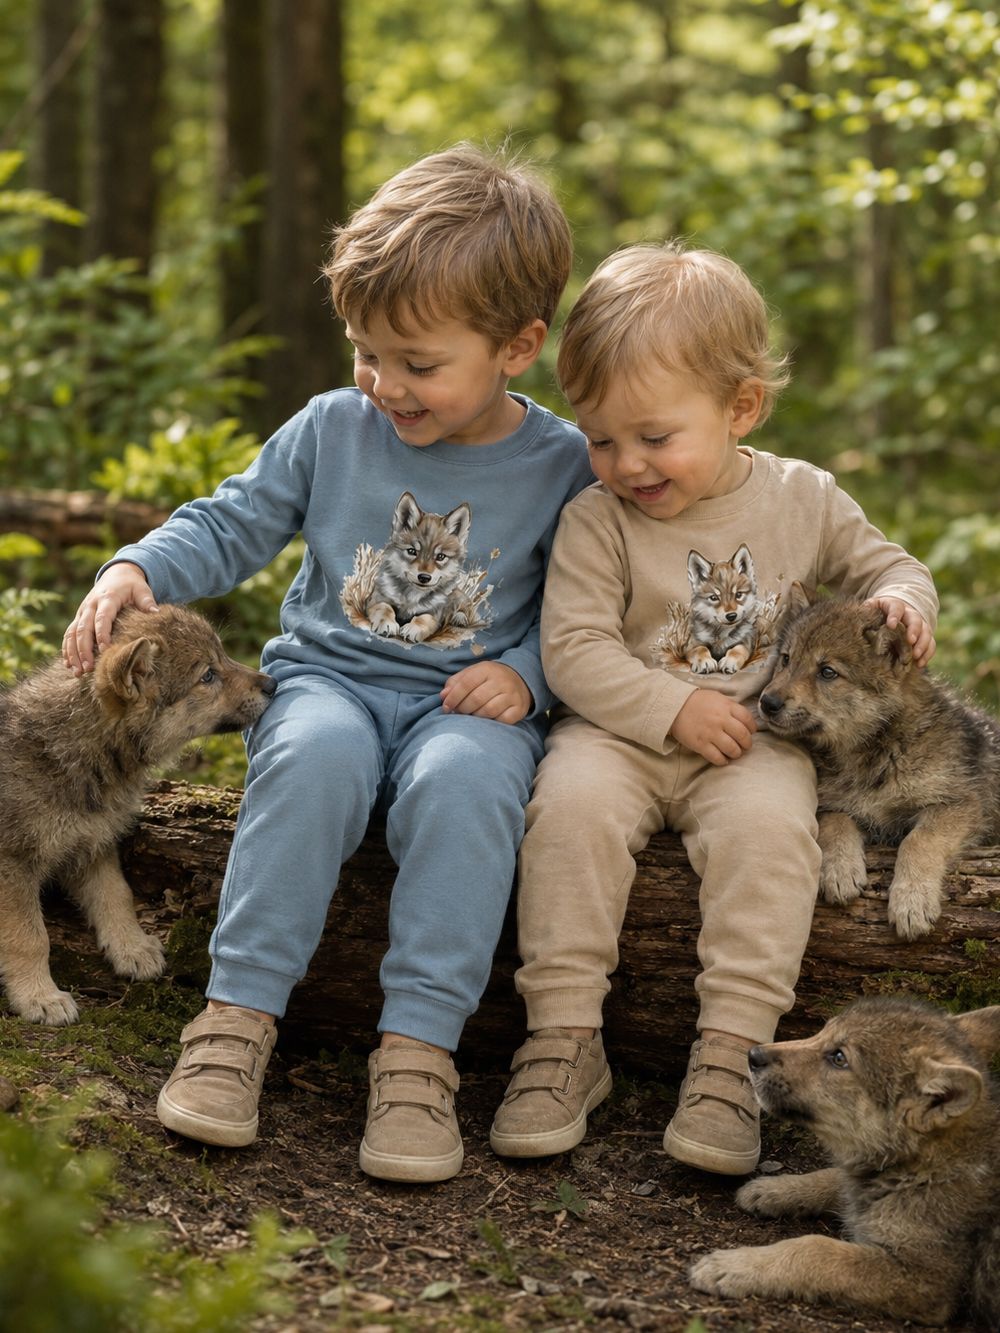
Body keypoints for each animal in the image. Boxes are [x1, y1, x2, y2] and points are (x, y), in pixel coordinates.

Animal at [0, 605, 275, 1025]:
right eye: (207, 675)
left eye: (223, 656)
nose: (273, 683)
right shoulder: (13, 865)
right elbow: (30, 937)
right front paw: (39, 997)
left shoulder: (93, 843)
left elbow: (117, 895)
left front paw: (132, 947)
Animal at [365, 491, 473, 643]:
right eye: (412, 551)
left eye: (440, 557)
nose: (424, 577)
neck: (412, 596)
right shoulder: (375, 599)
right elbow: (384, 607)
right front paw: (387, 623)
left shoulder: (435, 613)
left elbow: (425, 618)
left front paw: (413, 628)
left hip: (458, 597)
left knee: (464, 608)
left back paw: (459, 618)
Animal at [683, 545, 759, 674]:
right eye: (714, 597)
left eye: (738, 595)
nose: (731, 616)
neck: (721, 634)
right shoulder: (691, 645)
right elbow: (700, 649)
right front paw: (705, 661)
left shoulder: (746, 642)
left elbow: (738, 649)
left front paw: (730, 661)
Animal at [690, 997, 1000, 1327]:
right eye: (822, 1032)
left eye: (839, 1058)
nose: (753, 1054)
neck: (925, 1165)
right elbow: (835, 1177)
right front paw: (773, 1190)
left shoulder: (925, 1282)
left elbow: (814, 1248)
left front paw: (732, 1265)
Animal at [758, 596, 1000, 939]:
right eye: (786, 659)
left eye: (827, 672)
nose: (767, 703)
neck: (876, 753)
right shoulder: (832, 802)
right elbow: (836, 821)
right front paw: (840, 869)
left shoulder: (961, 804)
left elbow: (918, 841)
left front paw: (911, 902)